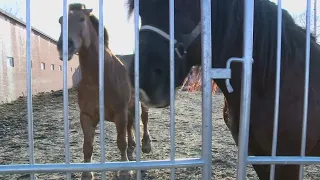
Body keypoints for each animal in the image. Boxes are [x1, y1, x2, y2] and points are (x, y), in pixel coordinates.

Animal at [56, 3, 152, 180]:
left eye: (82, 19)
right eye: (60, 21)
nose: (64, 46)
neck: (98, 79)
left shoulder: (120, 112)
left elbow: (121, 141)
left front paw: (125, 170)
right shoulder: (87, 116)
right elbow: (87, 146)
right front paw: (87, 174)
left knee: (144, 117)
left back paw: (146, 145)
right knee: (130, 124)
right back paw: (132, 150)